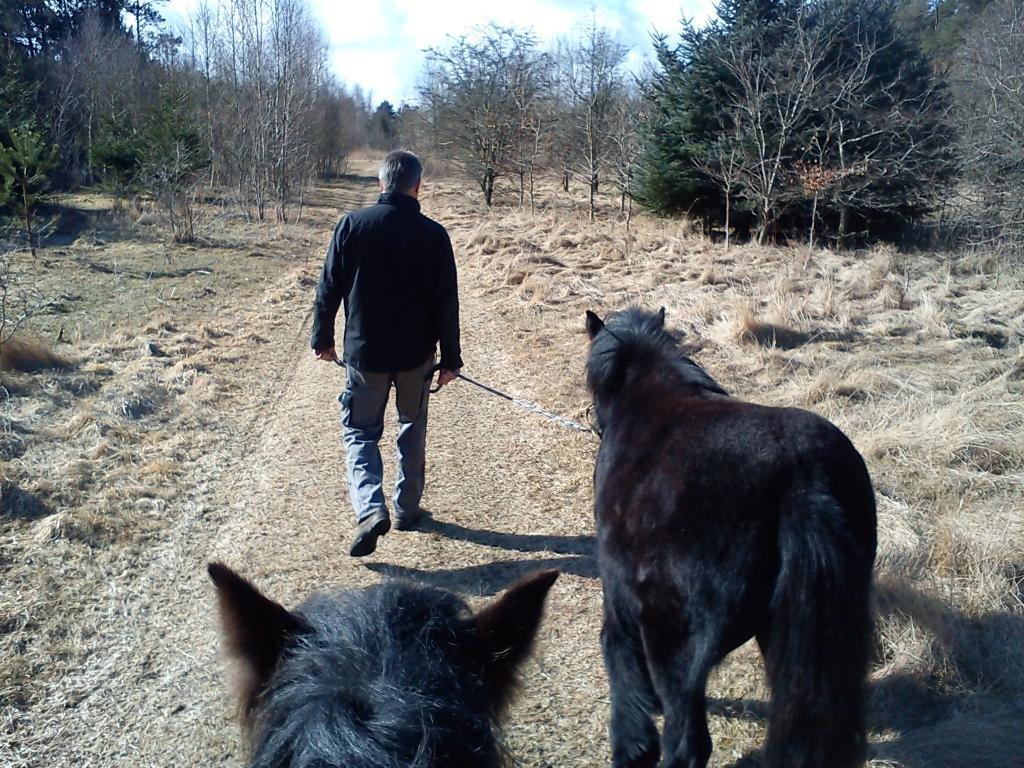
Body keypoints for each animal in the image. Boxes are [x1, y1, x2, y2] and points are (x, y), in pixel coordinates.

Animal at [585, 307, 877, 768]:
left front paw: (632, 746)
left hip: (675, 643)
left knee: (688, 743)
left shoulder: (621, 602)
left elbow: (620, 663)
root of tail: (801, 475)